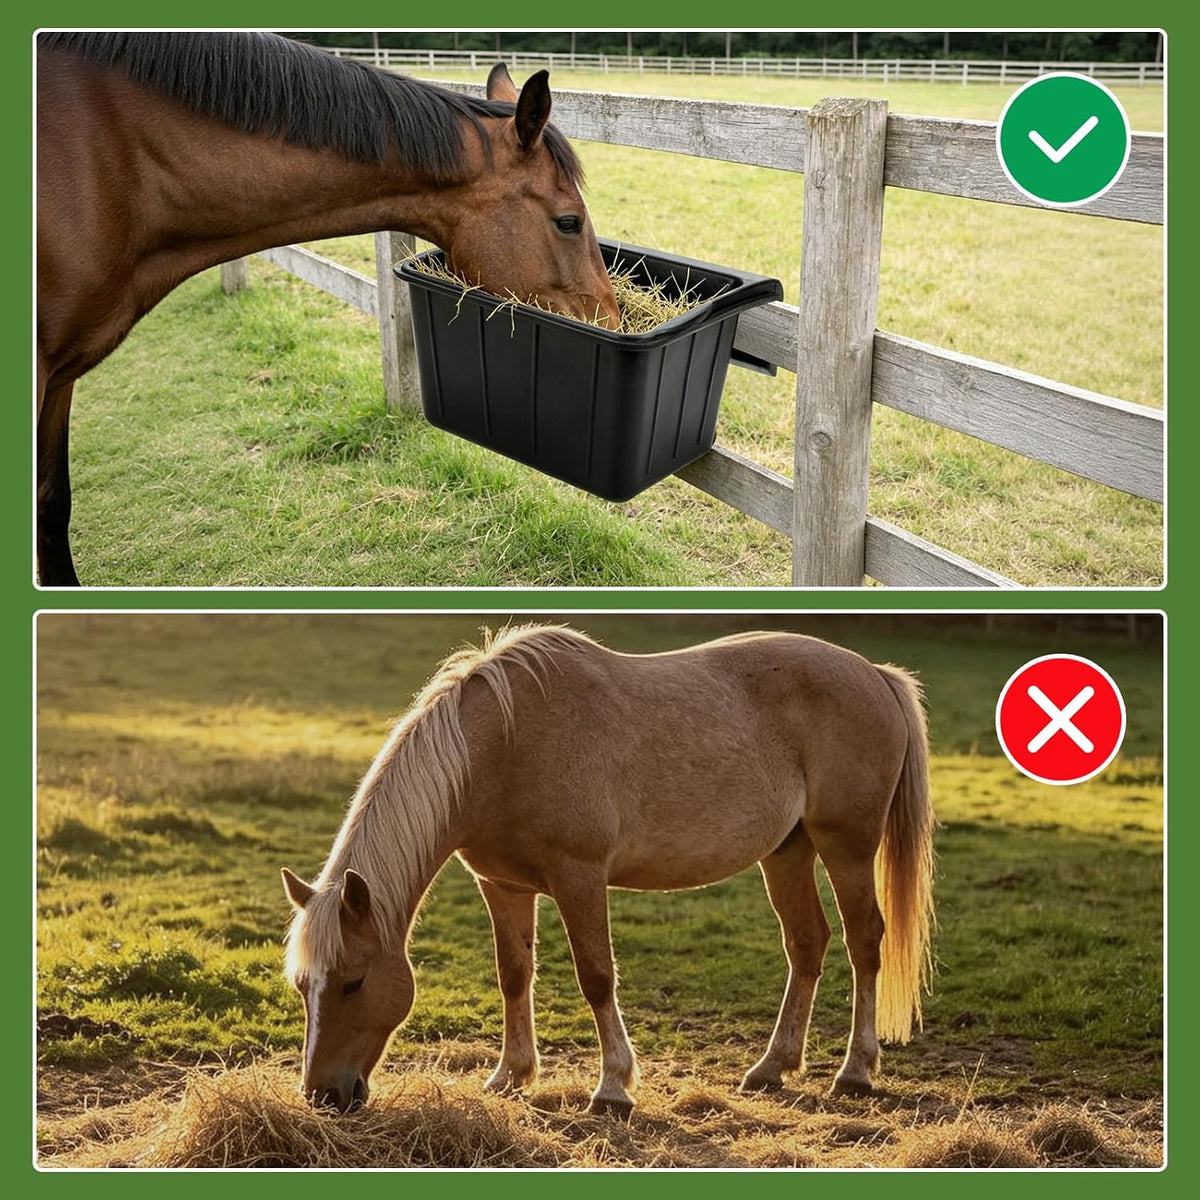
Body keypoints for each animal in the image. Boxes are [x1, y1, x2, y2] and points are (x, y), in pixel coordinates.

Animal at [281, 625, 935, 1115]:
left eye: (353, 981)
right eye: (303, 986)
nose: (323, 1095)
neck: (505, 747)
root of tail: (876, 674)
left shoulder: (580, 878)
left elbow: (596, 977)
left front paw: (613, 1087)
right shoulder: (502, 886)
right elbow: (513, 975)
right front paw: (510, 1076)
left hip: (846, 848)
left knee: (864, 941)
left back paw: (855, 1072)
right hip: (787, 851)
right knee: (807, 943)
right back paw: (771, 1068)